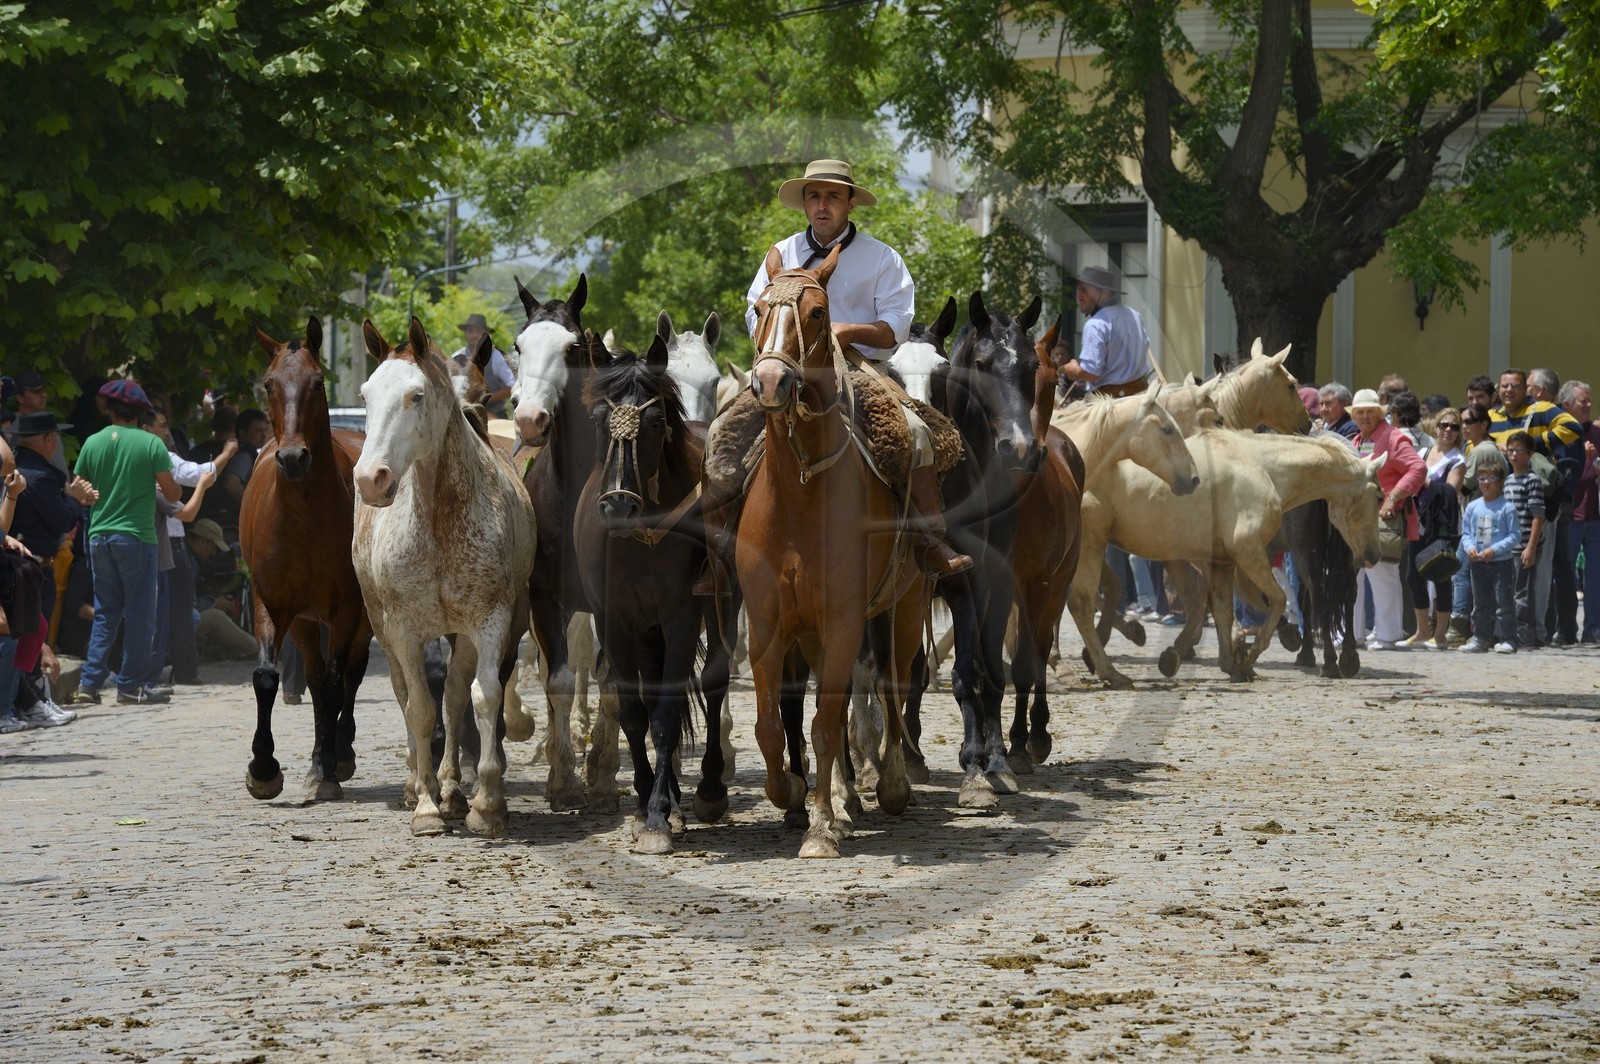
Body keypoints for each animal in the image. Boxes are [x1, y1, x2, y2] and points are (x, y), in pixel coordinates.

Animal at [240, 317, 374, 803]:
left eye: (317, 383)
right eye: (268, 383)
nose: (293, 458)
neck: (304, 518)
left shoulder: (348, 607)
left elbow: (337, 683)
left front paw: (331, 766)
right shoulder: (273, 603)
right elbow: (267, 677)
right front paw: (263, 769)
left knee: (348, 676)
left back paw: (338, 754)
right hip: (301, 620)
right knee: (315, 678)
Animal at [352, 318, 536, 837]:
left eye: (416, 395)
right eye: (366, 394)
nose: (370, 478)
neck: (437, 521)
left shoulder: (488, 621)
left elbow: (480, 696)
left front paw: (486, 804)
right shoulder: (402, 628)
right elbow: (417, 706)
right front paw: (426, 808)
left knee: (455, 699)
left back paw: (454, 789)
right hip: (382, 625)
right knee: (407, 694)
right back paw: (421, 784)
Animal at [573, 337, 736, 853]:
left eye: (654, 420)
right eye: (598, 419)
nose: (618, 504)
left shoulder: (681, 617)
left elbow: (664, 713)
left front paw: (660, 817)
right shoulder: (613, 621)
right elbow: (633, 712)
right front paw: (649, 798)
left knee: (714, 681)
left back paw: (706, 790)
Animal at [741, 244, 931, 858]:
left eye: (819, 313)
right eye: (759, 309)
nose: (771, 381)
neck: (801, 498)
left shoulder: (846, 620)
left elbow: (826, 723)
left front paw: (821, 827)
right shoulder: (768, 625)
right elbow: (771, 726)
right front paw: (791, 795)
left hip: (906, 605)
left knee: (892, 684)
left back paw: (888, 784)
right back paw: (846, 799)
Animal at [1082, 429, 1385, 683]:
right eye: (1380, 497)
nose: (1373, 555)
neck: (1262, 467)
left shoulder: (1221, 561)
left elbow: (1221, 609)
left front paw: (1227, 661)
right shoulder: (1248, 552)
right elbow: (1275, 600)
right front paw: (1249, 654)